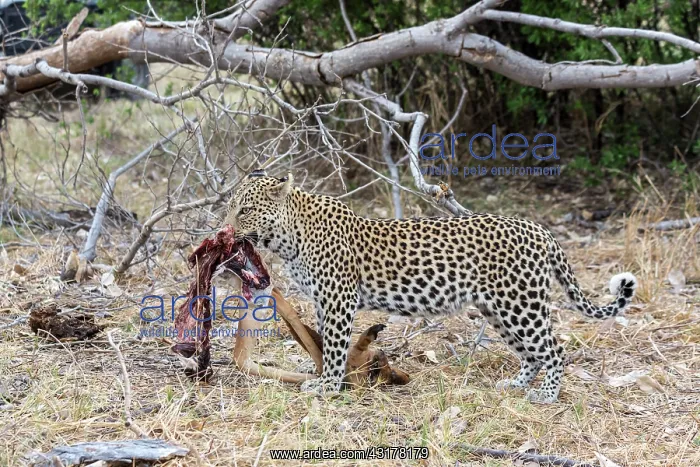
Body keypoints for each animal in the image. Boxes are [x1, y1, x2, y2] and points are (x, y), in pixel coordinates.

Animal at [223, 171, 638, 403]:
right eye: (231, 207)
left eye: (245, 210)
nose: (224, 230)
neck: (289, 237)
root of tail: (540, 229)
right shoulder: (325, 302)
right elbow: (321, 340)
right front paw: (320, 372)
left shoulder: (339, 298)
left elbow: (337, 345)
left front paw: (327, 385)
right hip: (499, 308)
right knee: (532, 353)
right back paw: (515, 385)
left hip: (521, 305)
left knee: (554, 349)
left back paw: (546, 395)